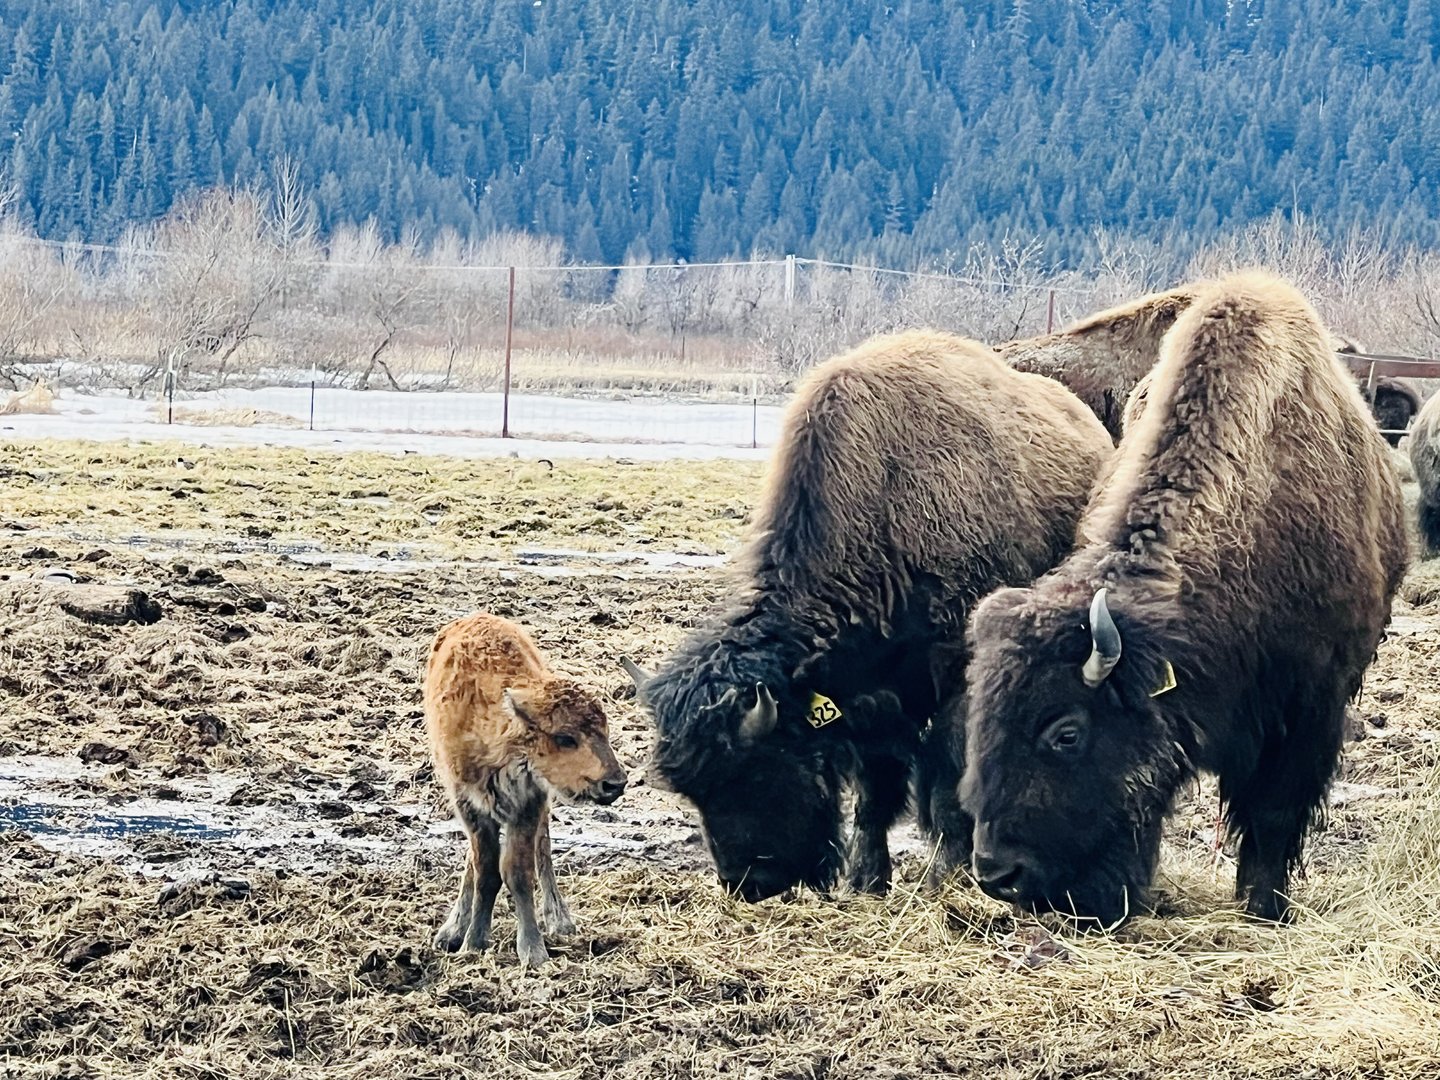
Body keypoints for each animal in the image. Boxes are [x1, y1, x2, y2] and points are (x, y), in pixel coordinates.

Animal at [425, 612, 627, 967]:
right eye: (565, 737)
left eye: (604, 731)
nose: (614, 783)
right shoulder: (470, 804)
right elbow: (486, 871)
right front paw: (473, 943)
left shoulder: (529, 802)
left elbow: (518, 873)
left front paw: (533, 951)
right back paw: (452, 930)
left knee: (543, 848)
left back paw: (560, 919)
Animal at [622, 330, 1113, 902]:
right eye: (694, 792)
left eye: (756, 772)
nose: (746, 882)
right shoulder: (871, 700)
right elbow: (874, 792)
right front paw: (867, 880)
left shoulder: (950, 679)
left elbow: (945, 781)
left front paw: (948, 875)